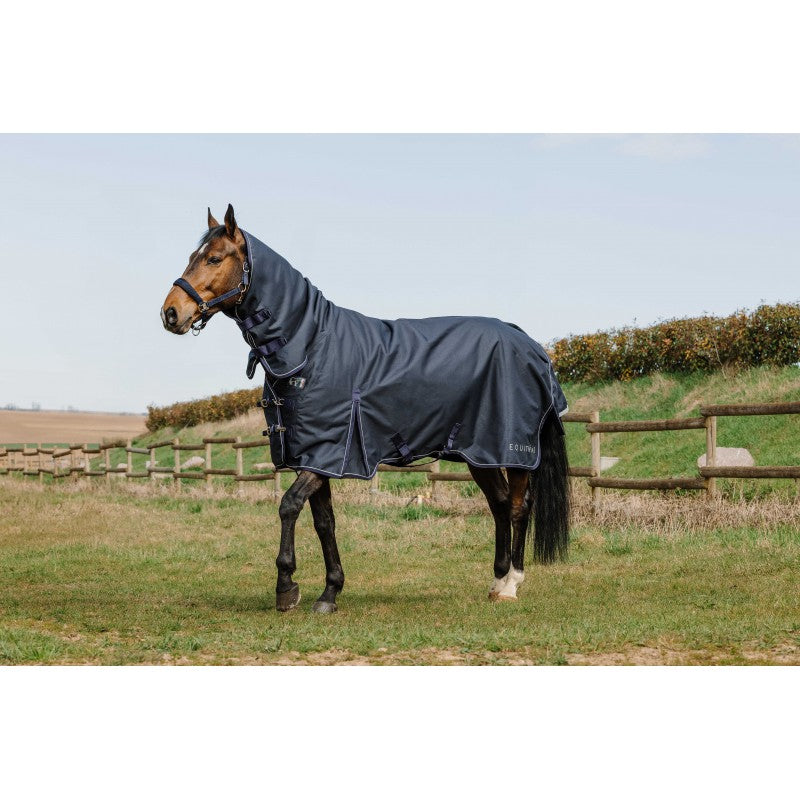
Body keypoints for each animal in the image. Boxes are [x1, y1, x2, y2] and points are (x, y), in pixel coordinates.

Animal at [161, 205, 570, 613]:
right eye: (192, 256)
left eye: (214, 259)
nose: (170, 313)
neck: (311, 345)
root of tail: (531, 346)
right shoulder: (315, 457)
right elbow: (324, 522)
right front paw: (329, 592)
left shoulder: (327, 451)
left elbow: (289, 505)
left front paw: (286, 587)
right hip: (478, 453)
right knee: (499, 504)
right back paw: (497, 580)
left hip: (511, 450)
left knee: (517, 506)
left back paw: (511, 584)